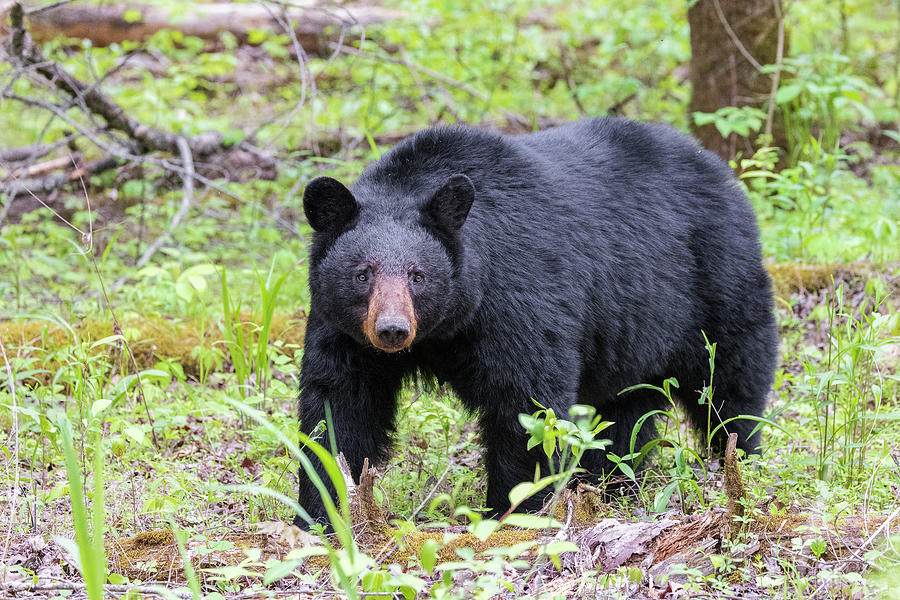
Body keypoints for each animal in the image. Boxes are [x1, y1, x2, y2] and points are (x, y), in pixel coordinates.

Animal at [298, 118, 776, 524]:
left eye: (418, 275)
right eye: (362, 273)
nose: (392, 331)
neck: (448, 326)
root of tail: (719, 170)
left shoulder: (520, 291)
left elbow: (526, 400)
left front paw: (514, 509)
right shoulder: (343, 330)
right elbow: (339, 406)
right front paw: (323, 510)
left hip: (716, 281)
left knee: (731, 381)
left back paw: (740, 457)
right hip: (634, 331)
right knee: (624, 409)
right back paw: (610, 484)